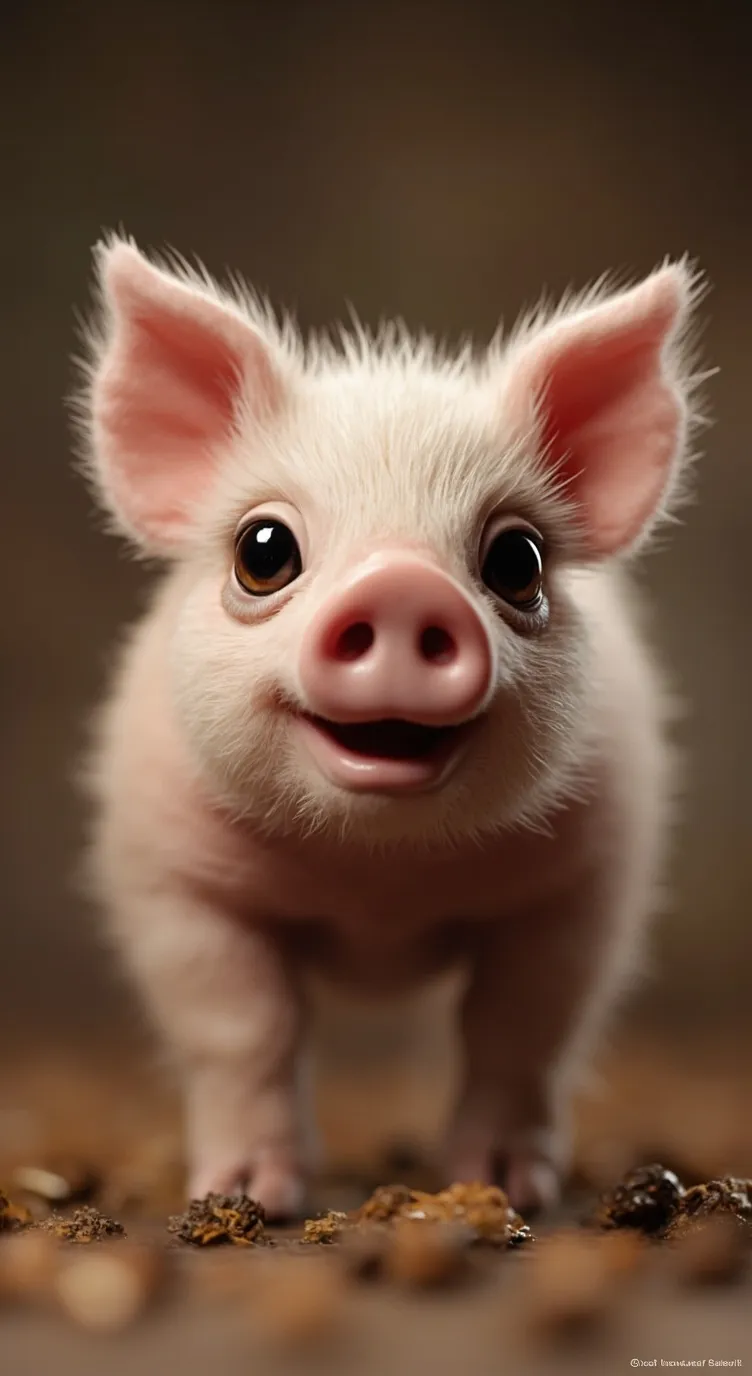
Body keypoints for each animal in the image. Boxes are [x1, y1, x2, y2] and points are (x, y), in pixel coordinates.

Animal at [72, 234, 707, 1219]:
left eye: (517, 560)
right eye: (263, 551)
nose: (402, 584)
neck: (379, 886)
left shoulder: (585, 877)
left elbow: (521, 1027)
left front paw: (507, 1191)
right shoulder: (170, 872)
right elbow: (245, 1028)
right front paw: (249, 1197)